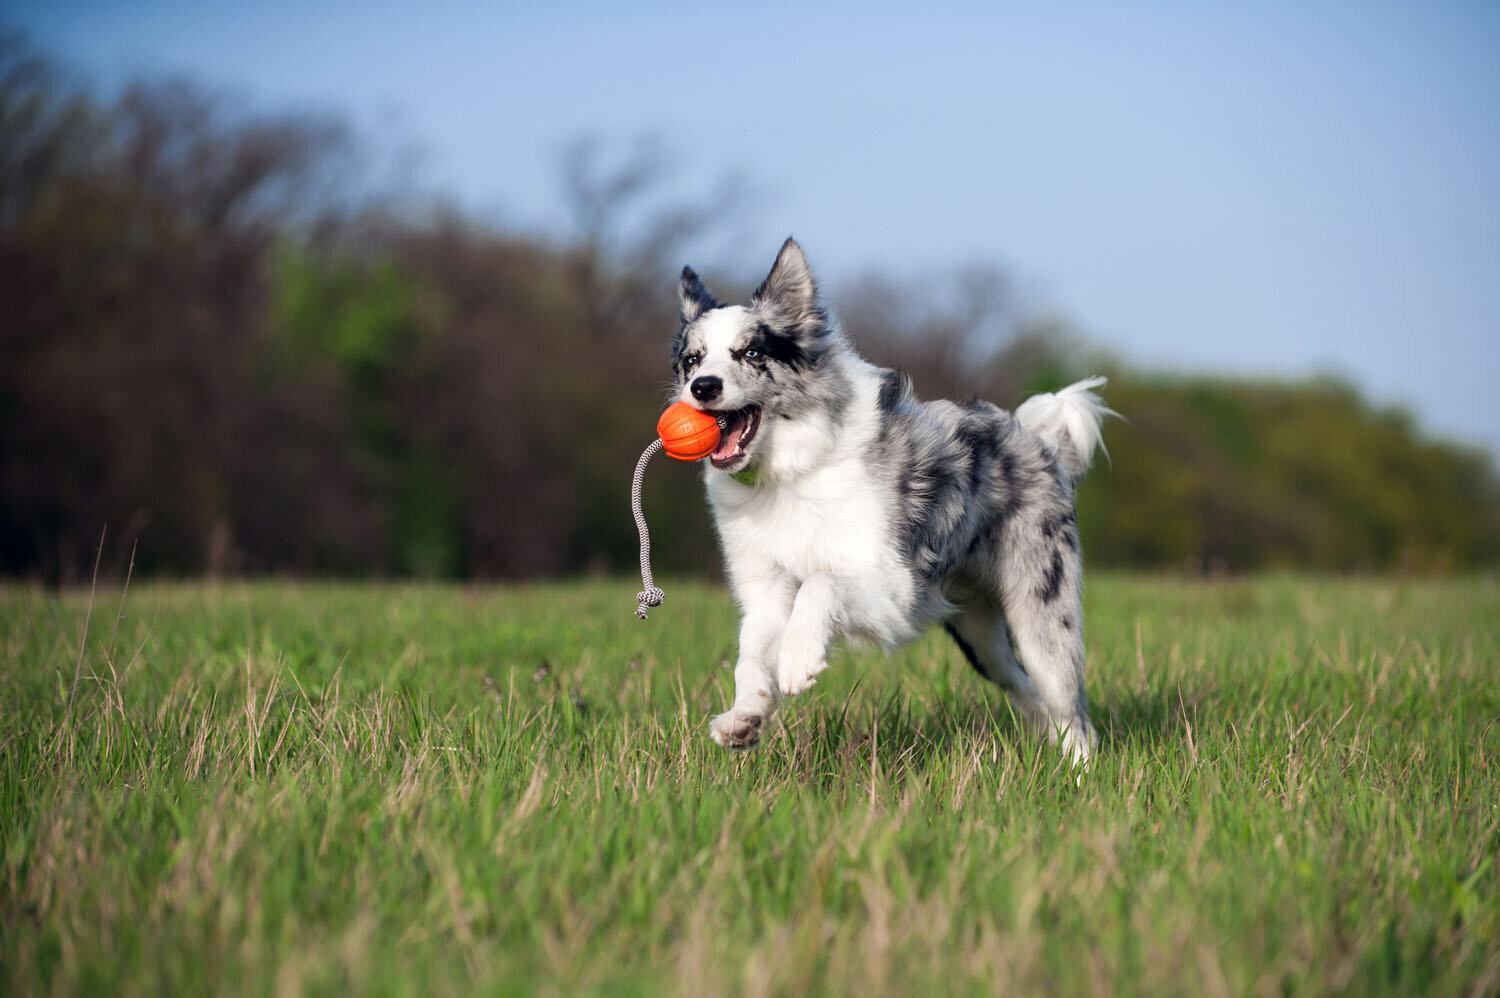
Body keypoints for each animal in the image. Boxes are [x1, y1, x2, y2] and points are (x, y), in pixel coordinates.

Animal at [669, 235, 1116, 762]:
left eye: (753, 352)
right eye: (693, 360)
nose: (702, 388)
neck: (788, 473)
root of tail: (1040, 445)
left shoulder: (893, 587)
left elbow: (820, 583)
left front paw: (799, 658)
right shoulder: (765, 591)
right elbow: (750, 655)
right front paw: (744, 716)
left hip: (1043, 617)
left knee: (1072, 711)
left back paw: (1079, 773)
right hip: (982, 641)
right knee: (1028, 692)